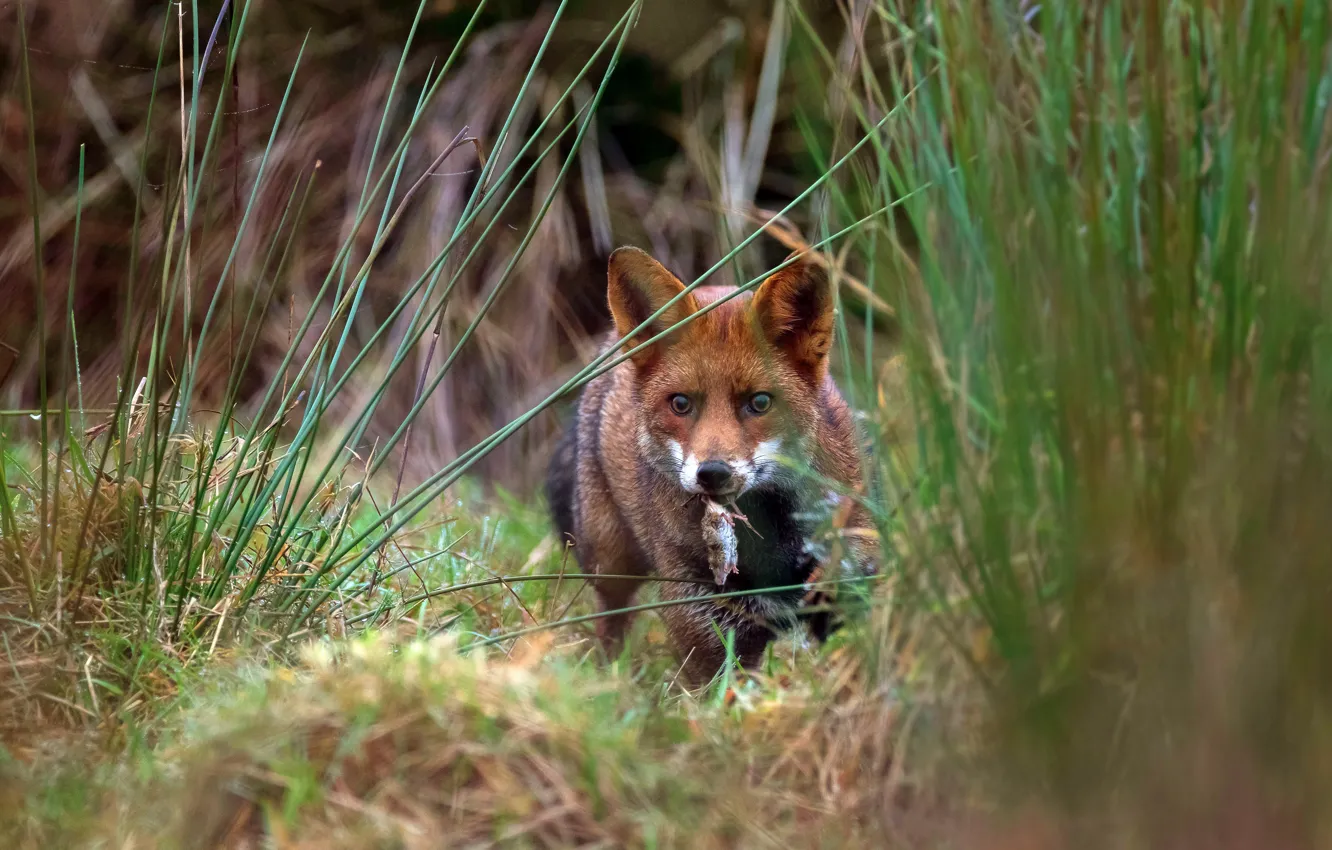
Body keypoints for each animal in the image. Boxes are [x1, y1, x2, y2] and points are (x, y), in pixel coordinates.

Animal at [545, 246, 875, 686]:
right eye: (681, 404)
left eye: (760, 402)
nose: (712, 472)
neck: (770, 546)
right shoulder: (703, 615)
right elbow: (720, 687)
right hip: (610, 560)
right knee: (610, 618)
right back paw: (611, 678)